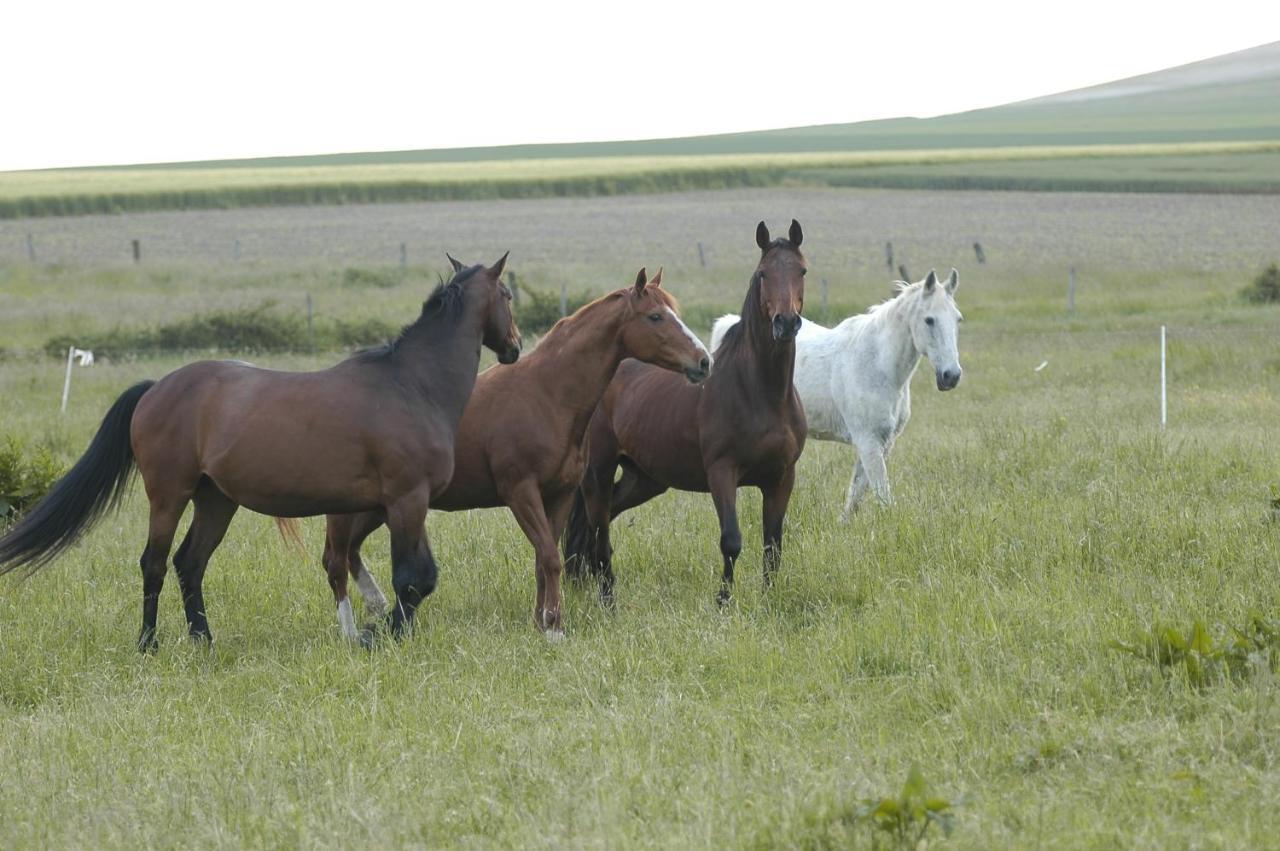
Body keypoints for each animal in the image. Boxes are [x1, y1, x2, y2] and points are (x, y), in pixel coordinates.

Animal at [1, 255, 519, 647]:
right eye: (508, 296)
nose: (514, 348)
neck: (410, 385)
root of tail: (156, 388)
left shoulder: (402, 503)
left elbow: (412, 576)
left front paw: (379, 631)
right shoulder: (407, 499)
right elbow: (413, 577)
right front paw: (383, 635)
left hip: (215, 500)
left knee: (189, 562)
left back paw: (203, 640)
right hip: (169, 495)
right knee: (154, 563)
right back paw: (148, 643)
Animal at [316, 266, 716, 637]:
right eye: (655, 316)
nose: (704, 361)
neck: (547, 394)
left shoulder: (559, 495)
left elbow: (543, 559)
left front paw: (542, 621)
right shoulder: (520, 493)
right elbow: (551, 558)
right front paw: (554, 627)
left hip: (380, 508)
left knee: (350, 553)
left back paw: (377, 605)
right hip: (356, 509)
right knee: (335, 559)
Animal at [563, 218, 803, 604]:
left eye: (802, 270)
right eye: (763, 273)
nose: (786, 323)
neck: (762, 393)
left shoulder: (781, 477)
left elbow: (773, 545)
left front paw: (769, 599)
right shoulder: (722, 473)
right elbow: (731, 541)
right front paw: (723, 602)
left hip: (644, 479)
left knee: (600, 524)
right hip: (598, 472)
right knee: (597, 530)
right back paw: (604, 596)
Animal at [711, 268, 962, 516]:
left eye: (957, 319)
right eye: (929, 320)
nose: (951, 375)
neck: (877, 364)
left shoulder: (882, 442)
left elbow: (857, 494)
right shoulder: (868, 441)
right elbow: (883, 496)